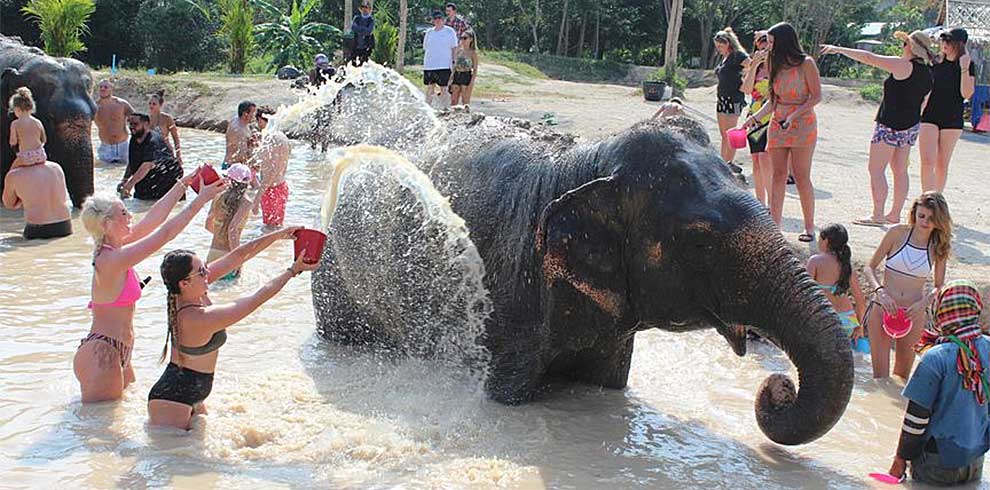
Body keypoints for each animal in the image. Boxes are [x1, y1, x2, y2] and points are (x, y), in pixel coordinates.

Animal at [310, 91, 852, 444]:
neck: (586, 163)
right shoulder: (509, 296)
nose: (777, 387)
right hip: (337, 284)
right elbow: (507, 393)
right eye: (699, 240)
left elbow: (607, 387)